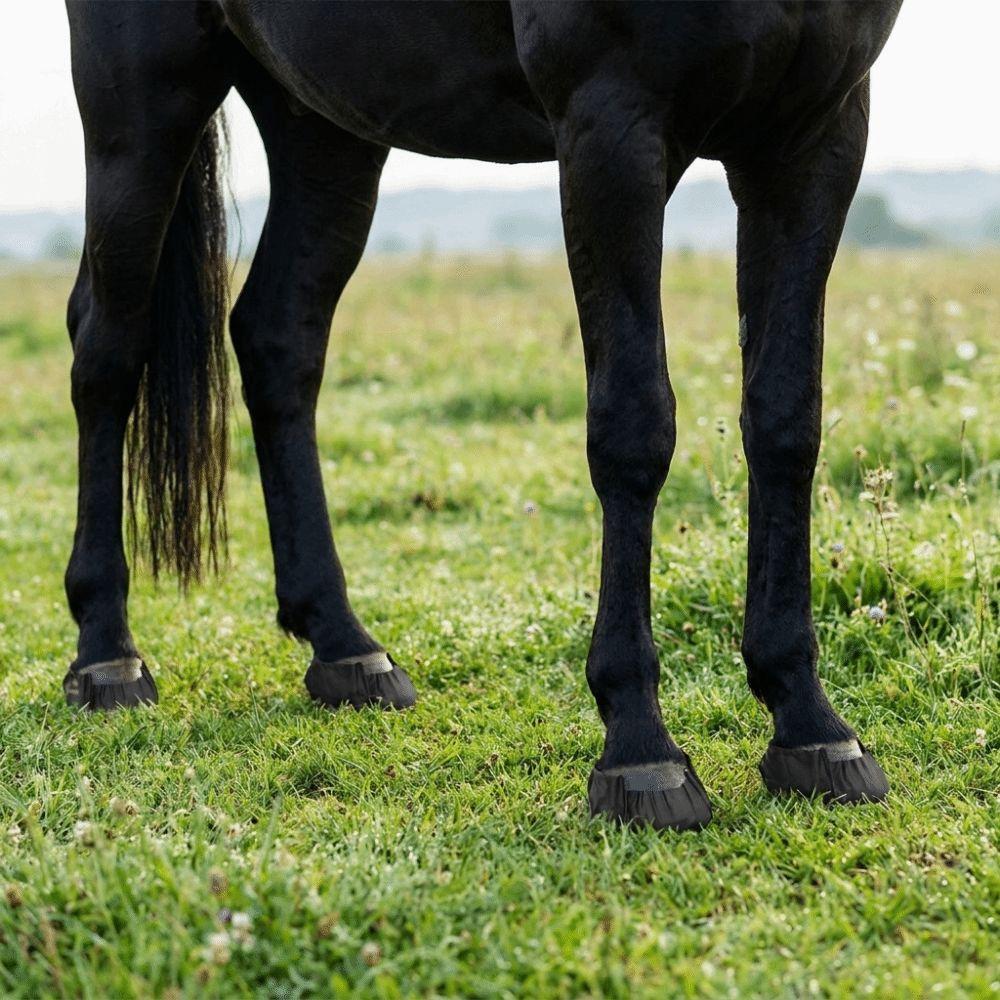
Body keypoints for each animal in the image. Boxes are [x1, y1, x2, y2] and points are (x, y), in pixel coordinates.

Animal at [62, 0, 901, 831]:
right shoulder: (611, 124)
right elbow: (634, 423)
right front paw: (640, 750)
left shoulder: (814, 138)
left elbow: (786, 418)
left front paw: (811, 725)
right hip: (143, 105)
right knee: (106, 347)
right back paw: (107, 656)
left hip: (323, 128)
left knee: (277, 340)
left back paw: (345, 646)